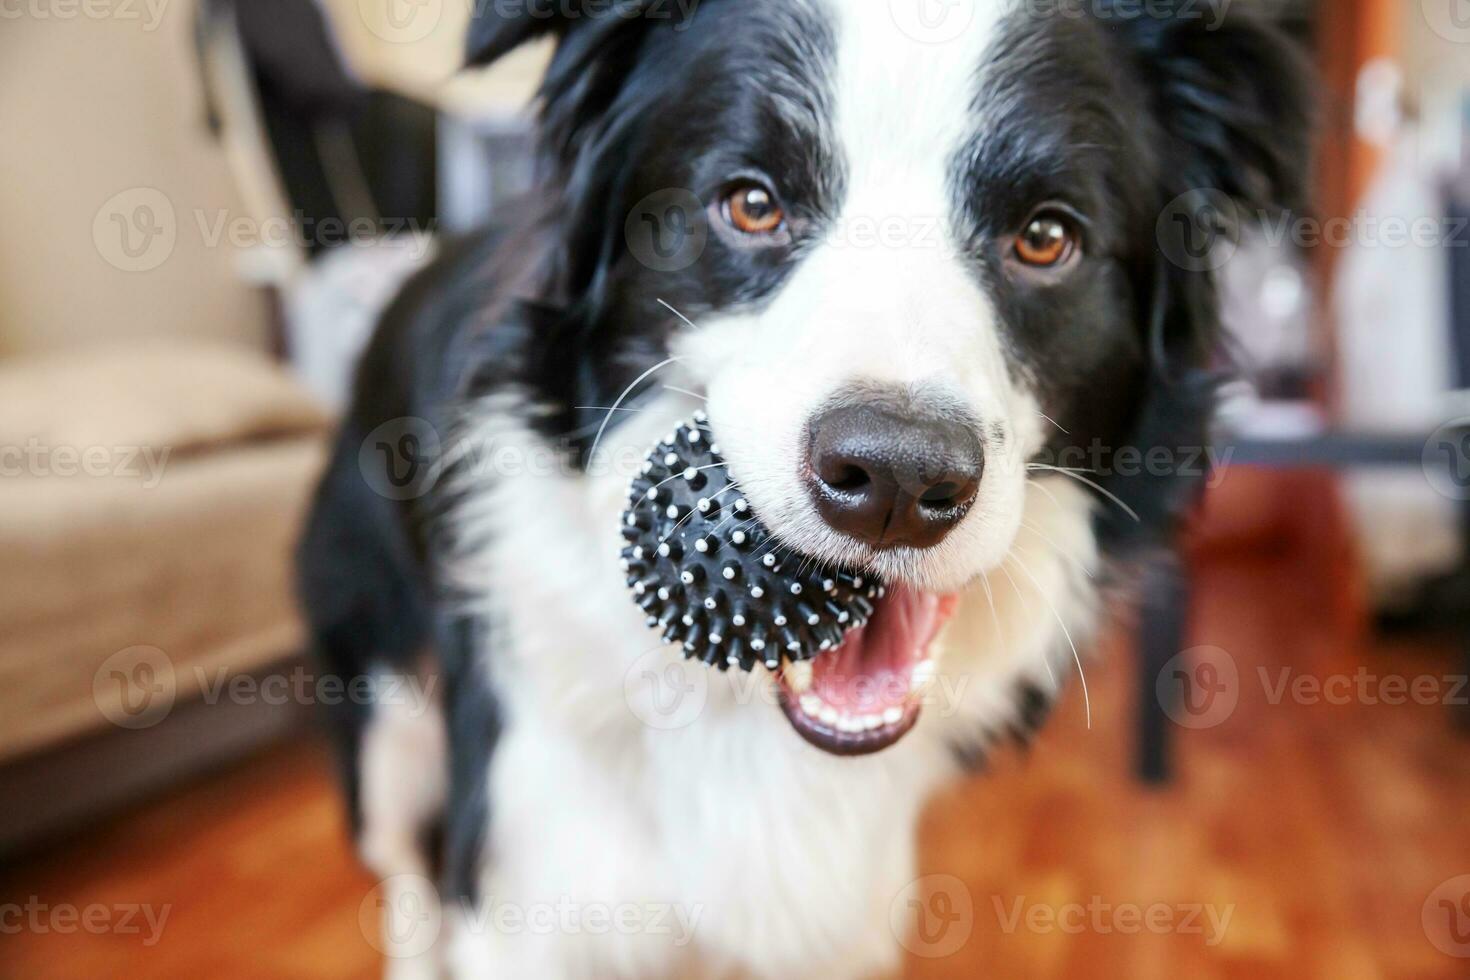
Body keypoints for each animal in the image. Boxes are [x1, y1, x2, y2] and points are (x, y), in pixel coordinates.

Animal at [292, 3, 1305, 975]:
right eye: (751, 204)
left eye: (1047, 237)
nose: (897, 477)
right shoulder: (531, 889)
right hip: (382, 709)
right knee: (403, 866)